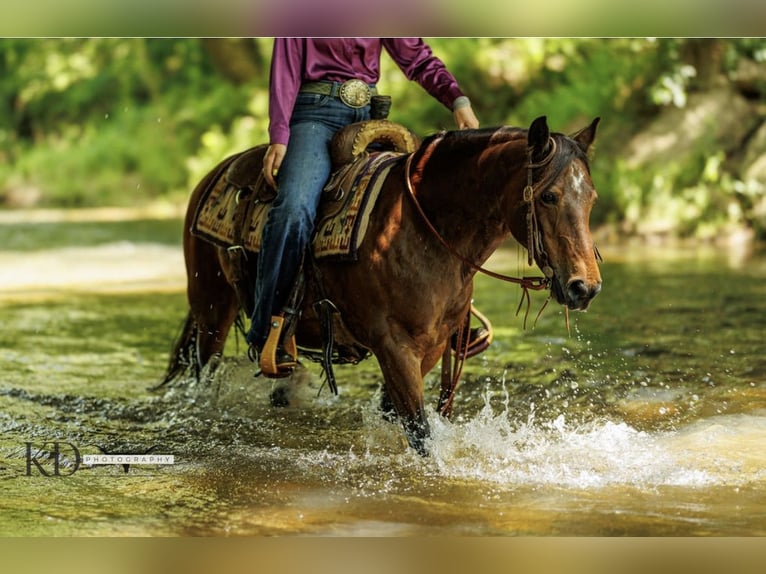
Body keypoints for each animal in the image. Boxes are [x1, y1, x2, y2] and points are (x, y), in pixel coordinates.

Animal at [162, 115, 603, 455]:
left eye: (593, 199)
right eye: (548, 196)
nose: (585, 287)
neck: (425, 230)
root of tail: (218, 170)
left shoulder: (434, 346)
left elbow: (395, 412)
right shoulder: (393, 345)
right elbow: (420, 432)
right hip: (212, 312)